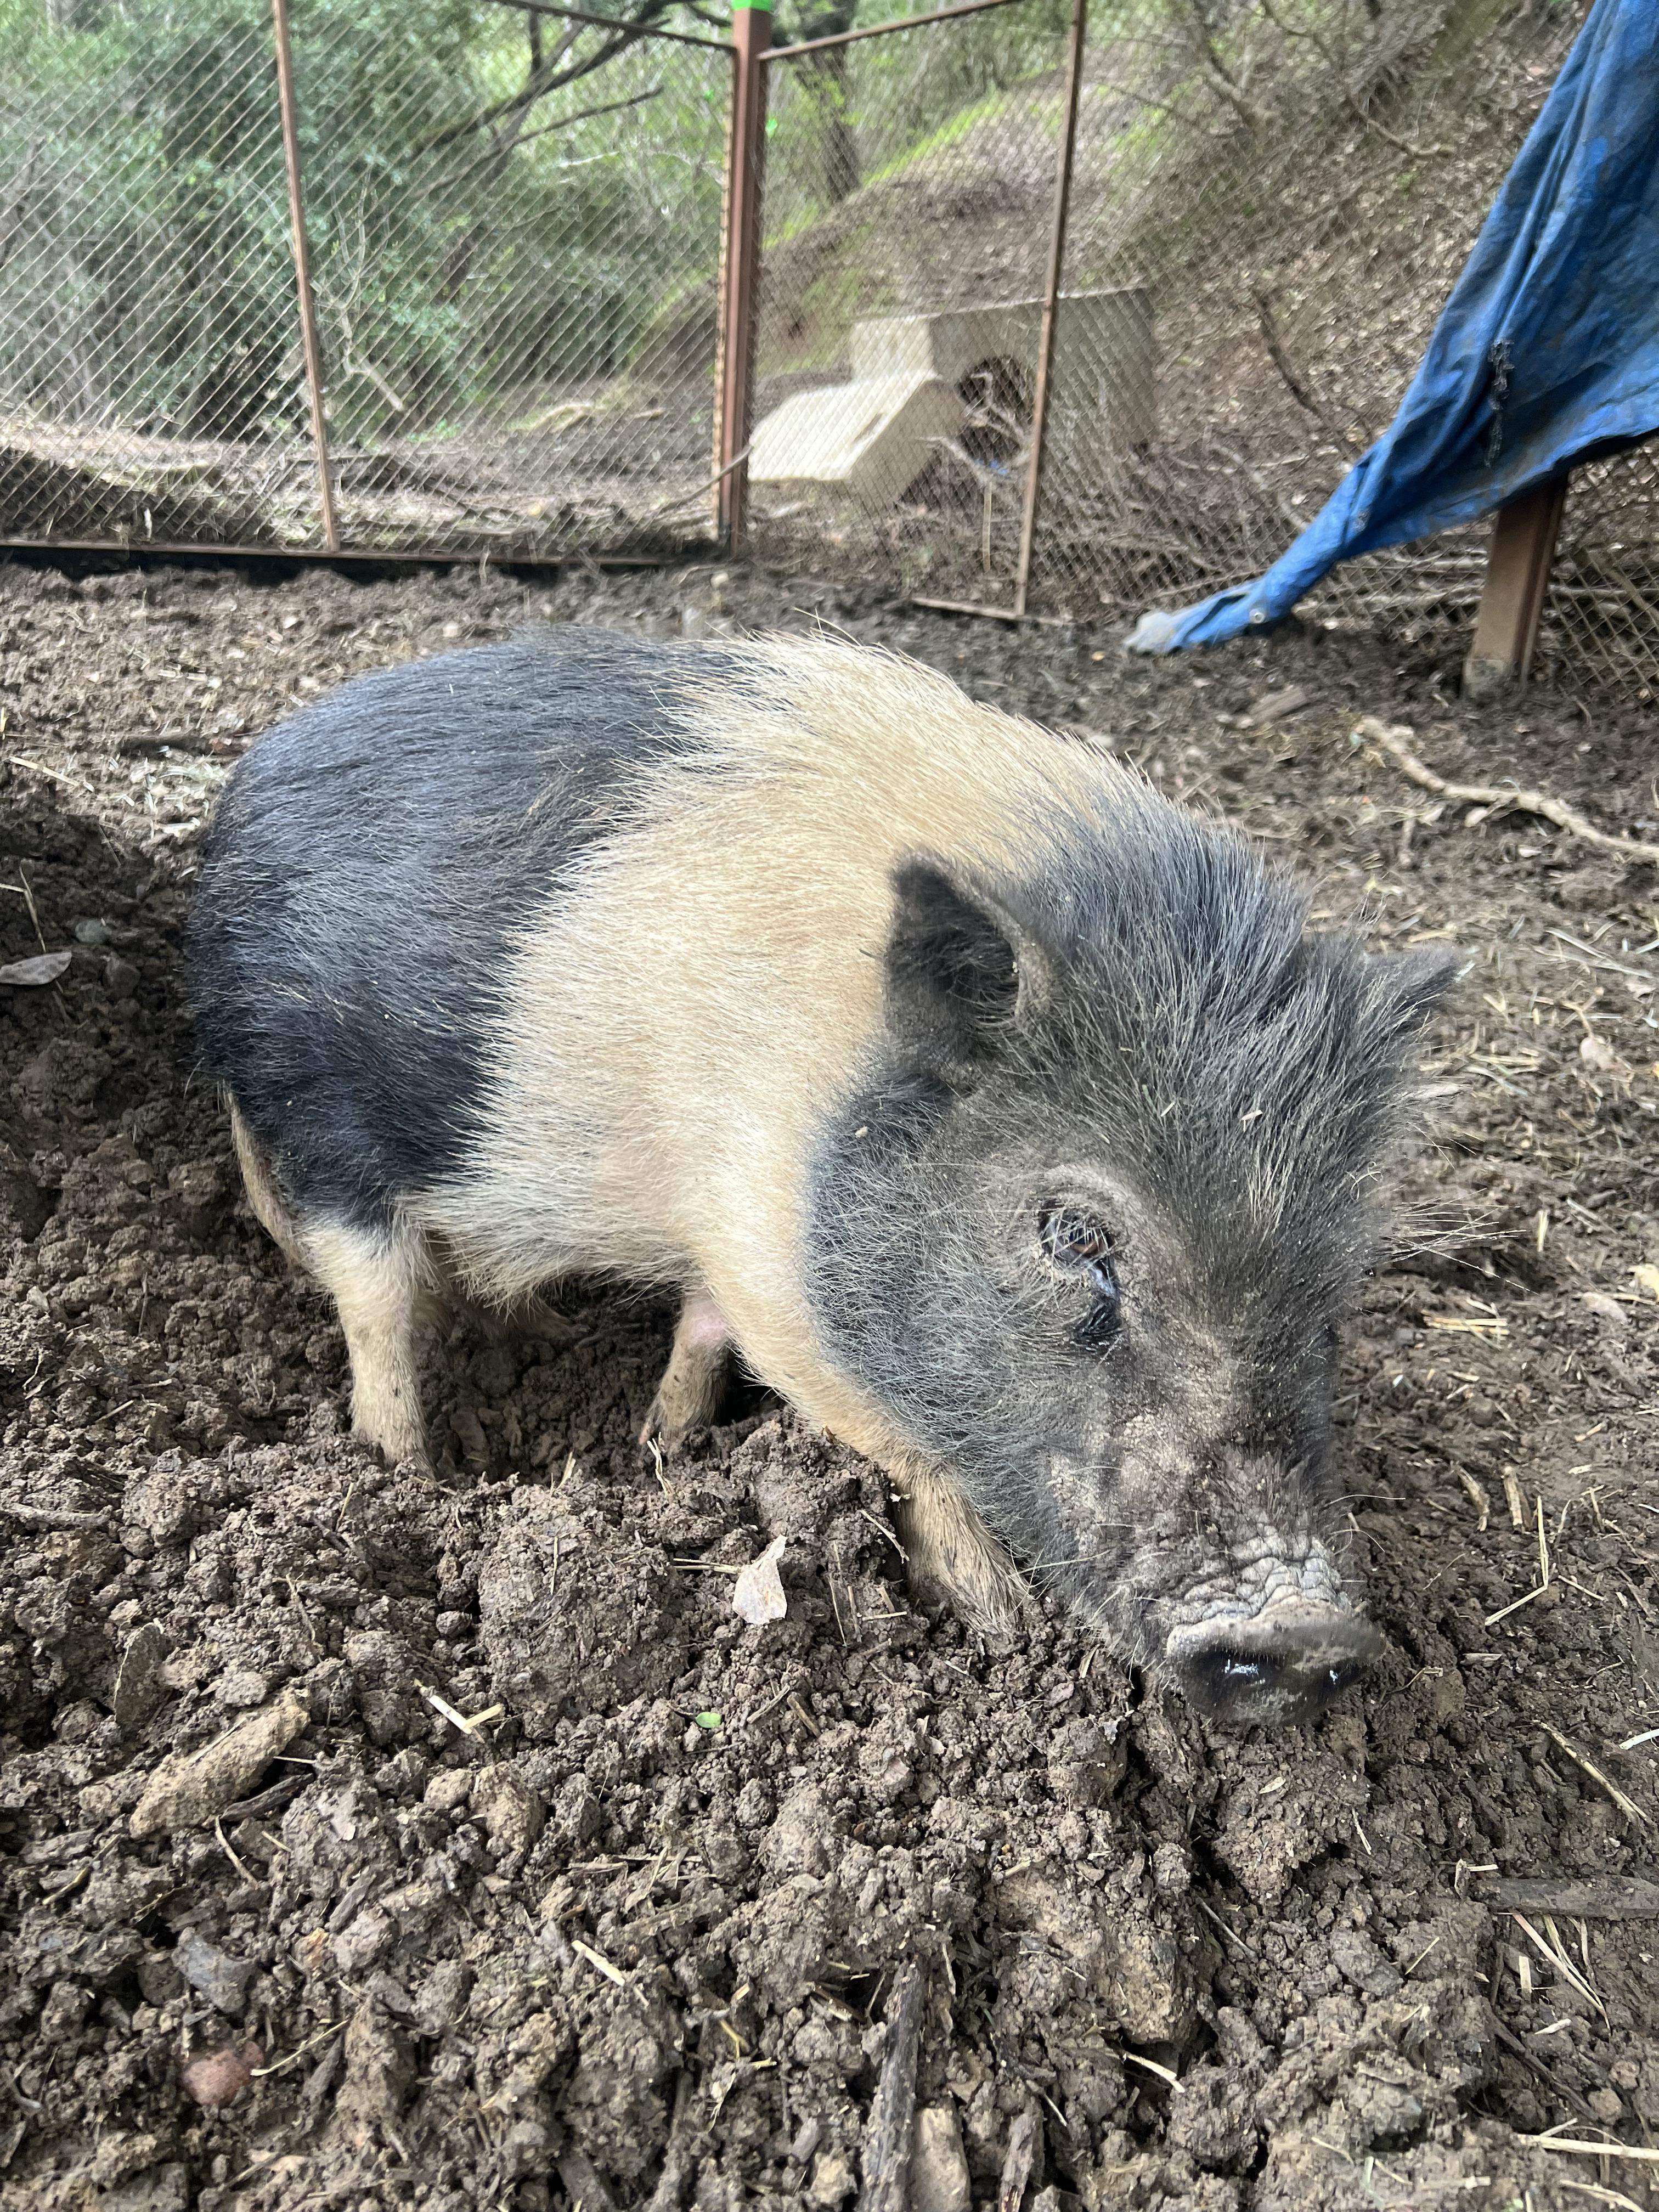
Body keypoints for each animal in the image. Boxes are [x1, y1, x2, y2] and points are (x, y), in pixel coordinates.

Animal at [188, 628, 1452, 1726]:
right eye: (1076, 1234)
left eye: (1335, 1285)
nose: (1310, 1635)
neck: (819, 1099)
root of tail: (242, 783)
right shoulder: (768, 1262)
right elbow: (902, 1443)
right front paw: (998, 1626)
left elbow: (701, 1332)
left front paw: (665, 1452)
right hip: (310, 1105)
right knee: (378, 1305)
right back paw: (410, 1472)